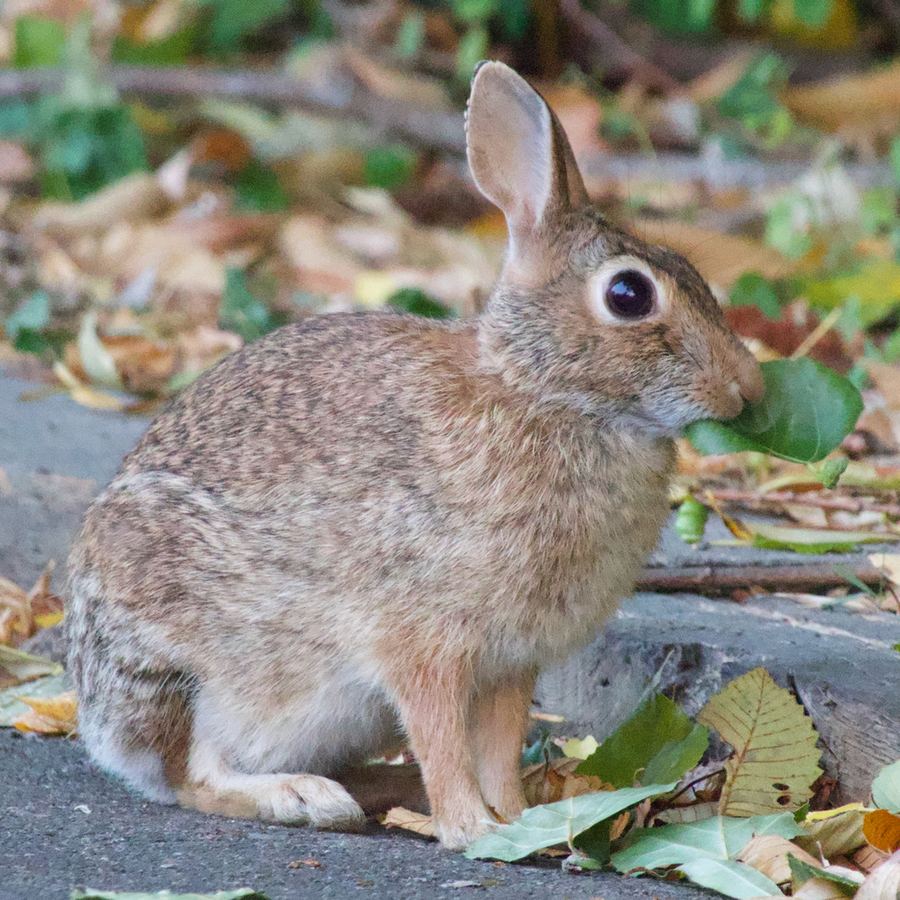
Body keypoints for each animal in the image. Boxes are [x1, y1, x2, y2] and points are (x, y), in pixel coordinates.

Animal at [65, 61, 764, 851]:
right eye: (628, 293)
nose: (747, 387)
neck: (542, 392)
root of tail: (102, 725)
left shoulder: (511, 662)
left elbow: (496, 744)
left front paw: (518, 820)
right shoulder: (422, 642)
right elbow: (440, 736)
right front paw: (472, 829)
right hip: (211, 669)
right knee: (196, 774)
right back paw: (305, 798)